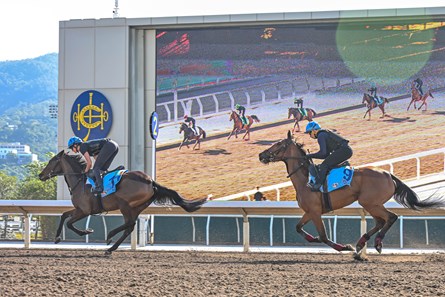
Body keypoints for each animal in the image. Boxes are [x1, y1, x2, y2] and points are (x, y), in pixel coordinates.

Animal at [39, 150, 206, 254]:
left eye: (51, 161)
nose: (40, 175)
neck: (79, 181)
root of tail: (150, 181)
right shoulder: (79, 209)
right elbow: (63, 215)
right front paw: (57, 238)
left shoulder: (85, 210)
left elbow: (69, 223)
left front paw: (87, 231)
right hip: (137, 207)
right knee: (129, 227)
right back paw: (111, 248)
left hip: (124, 204)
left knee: (129, 224)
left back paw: (110, 237)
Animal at [258, 132, 444, 260]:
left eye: (278, 144)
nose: (261, 155)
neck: (305, 179)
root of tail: (388, 174)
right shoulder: (310, 211)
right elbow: (299, 228)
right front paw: (314, 238)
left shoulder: (315, 211)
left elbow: (324, 236)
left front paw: (344, 247)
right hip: (370, 204)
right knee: (380, 221)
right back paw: (362, 243)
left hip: (370, 203)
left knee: (390, 217)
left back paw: (376, 243)